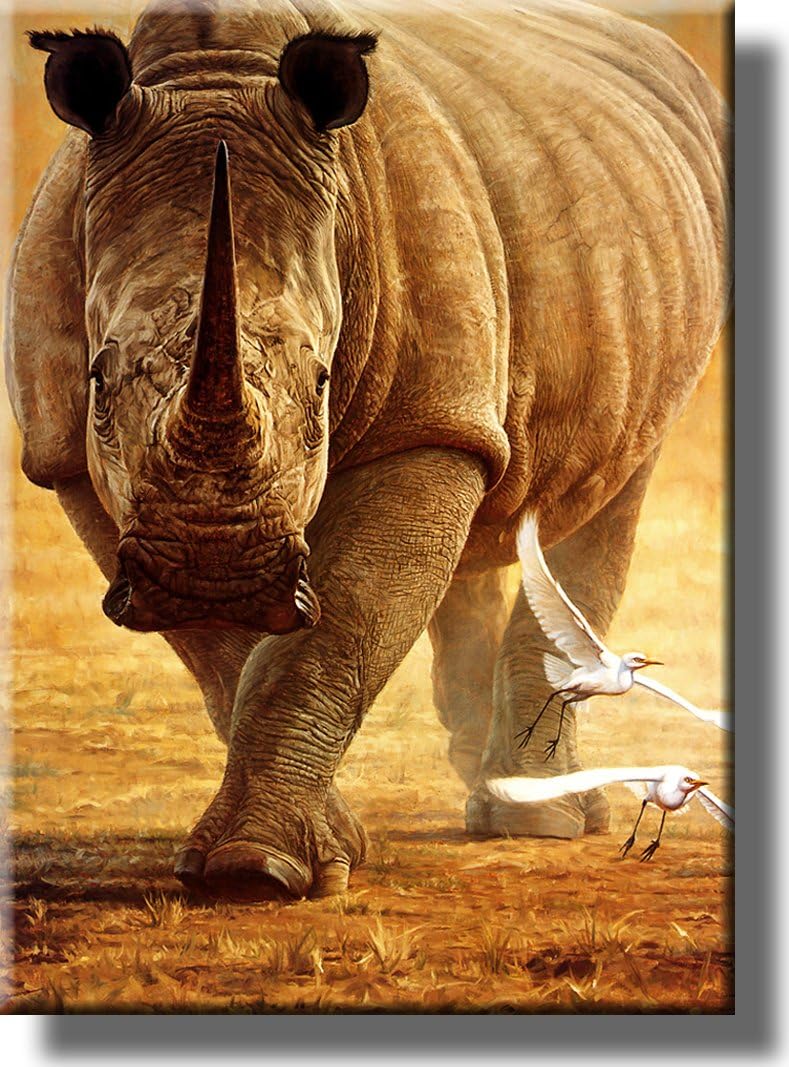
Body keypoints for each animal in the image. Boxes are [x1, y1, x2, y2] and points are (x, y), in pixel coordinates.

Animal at [6, 0, 729, 899]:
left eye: (320, 383)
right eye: (99, 384)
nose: (215, 570)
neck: (217, 79)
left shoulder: (420, 420)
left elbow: (334, 627)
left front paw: (258, 871)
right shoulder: (67, 453)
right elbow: (224, 656)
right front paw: (301, 849)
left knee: (603, 492)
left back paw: (541, 821)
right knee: (493, 497)